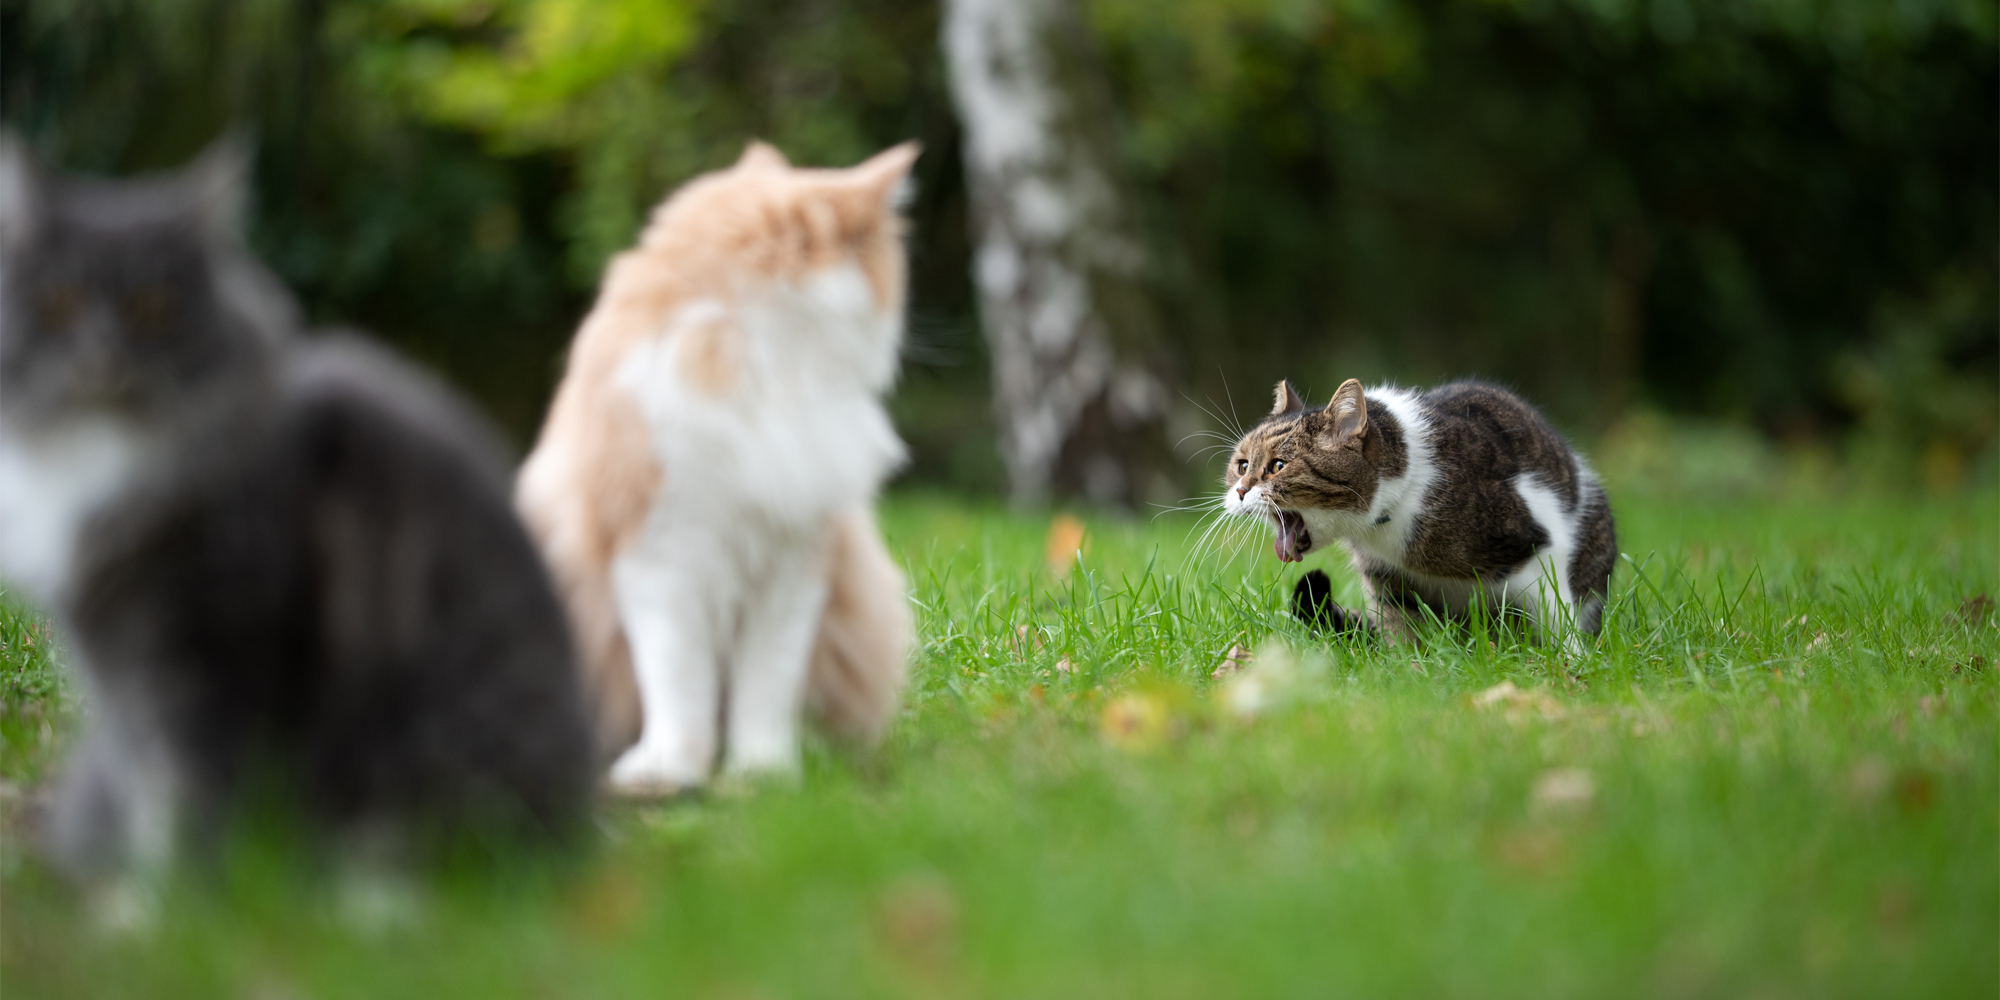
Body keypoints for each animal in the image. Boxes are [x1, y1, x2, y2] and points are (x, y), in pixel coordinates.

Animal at [516, 143, 920, 796]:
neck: (757, 356)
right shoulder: (661, 560)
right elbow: (679, 682)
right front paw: (669, 770)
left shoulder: (794, 567)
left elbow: (766, 688)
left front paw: (763, 774)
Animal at [1224, 378, 1616, 644]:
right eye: (1242, 466)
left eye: (1278, 466)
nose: (1240, 492)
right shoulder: (1386, 577)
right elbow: (1404, 629)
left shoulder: (1539, 541)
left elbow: (1556, 615)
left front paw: (1571, 663)